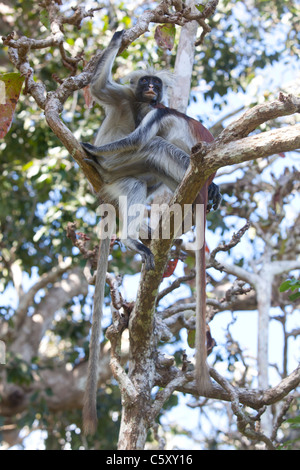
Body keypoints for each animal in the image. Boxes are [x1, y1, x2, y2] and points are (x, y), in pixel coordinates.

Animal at [79, 28, 220, 434]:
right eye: (147, 83)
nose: (154, 89)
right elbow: (102, 91)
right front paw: (117, 36)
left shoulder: (156, 113)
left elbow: (138, 139)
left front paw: (90, 147)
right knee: (142, 175)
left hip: (172, 165)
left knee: (152, 149)